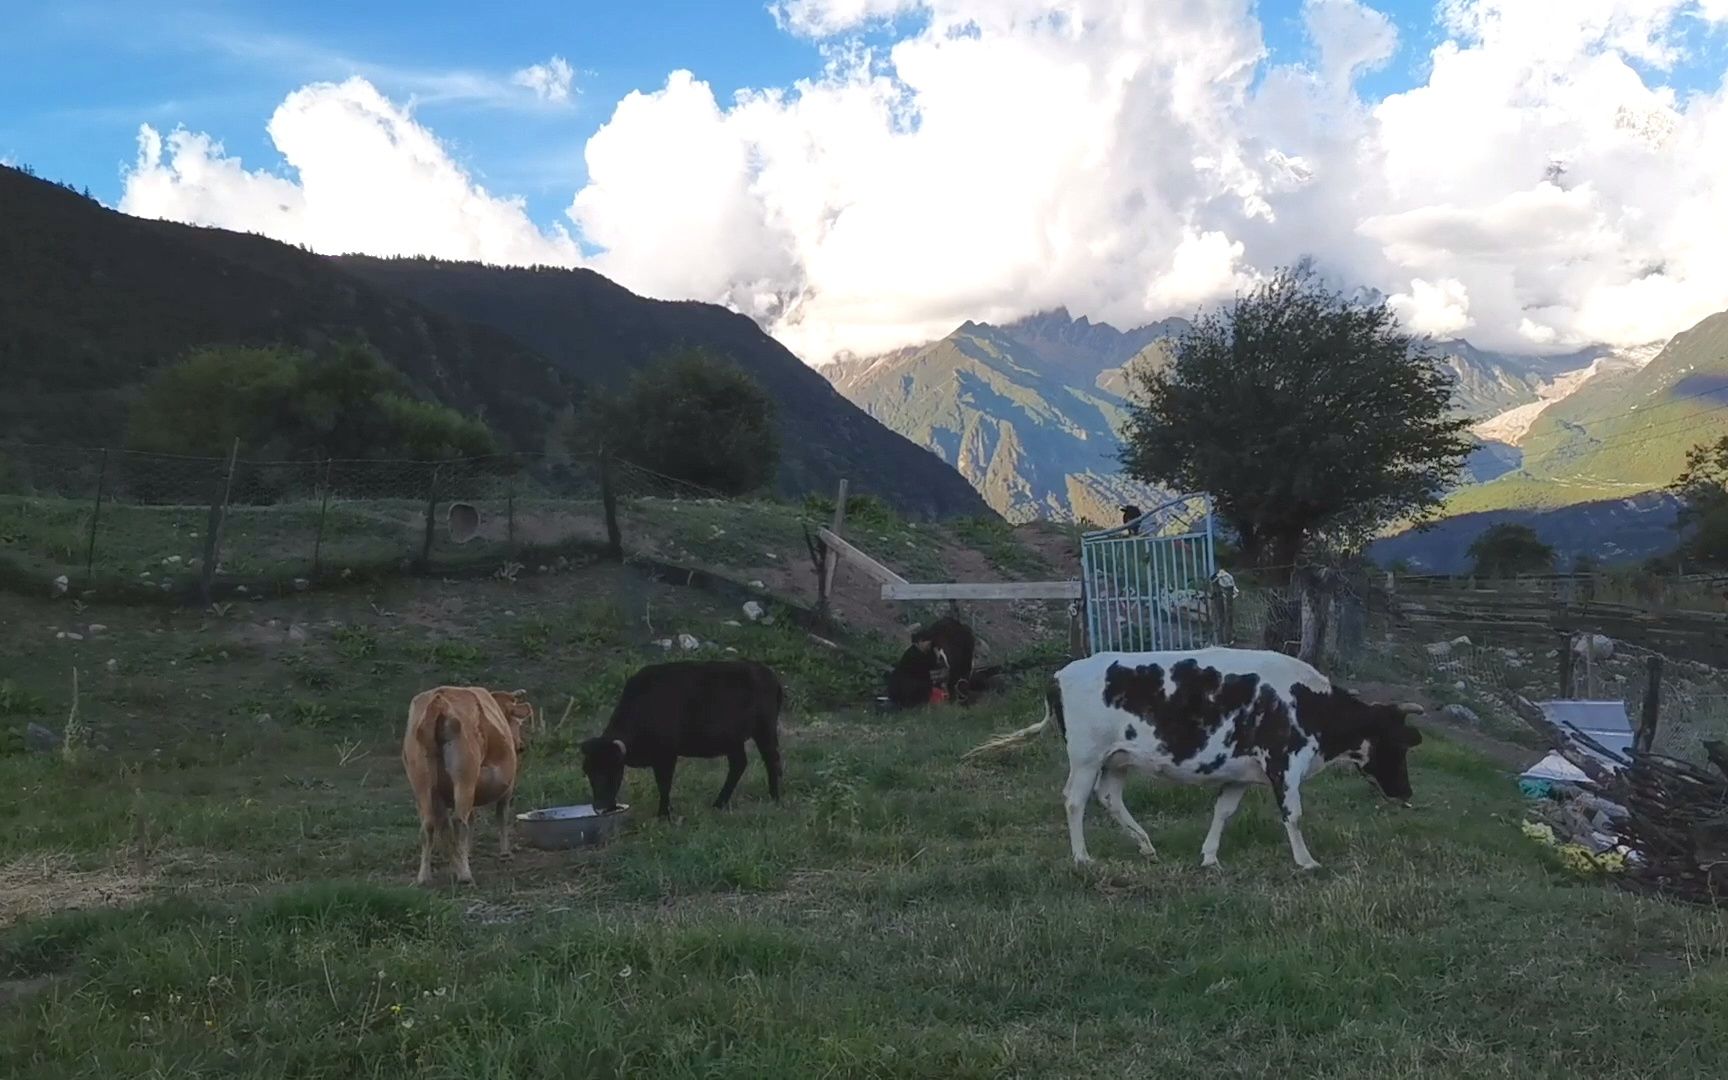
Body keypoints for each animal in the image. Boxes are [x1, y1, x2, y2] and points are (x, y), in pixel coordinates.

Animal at [402, 680, 532, 884]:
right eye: (516, 722)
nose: (520, 745)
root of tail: (438, 700)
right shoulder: (507, 787)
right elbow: (501, 815)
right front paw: (505, 853)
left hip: (421, 779)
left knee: (430, 824)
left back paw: (426, 876)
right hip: (465, 777)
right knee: (458, 821)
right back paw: (464, 875)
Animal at [580, 656, 784, 815]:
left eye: (610, 770)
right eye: (589, 772)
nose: (600, 807)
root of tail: (768, 674)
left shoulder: (666, 756)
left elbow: (664, 784)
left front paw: (663, 813)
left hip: (764, 730)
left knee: (771, 759)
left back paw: (774, 797)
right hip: (733, 741)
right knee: (739, 764)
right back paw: (719, 803)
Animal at [967, 649, 1423, 867]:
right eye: (1398, 744)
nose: (1406, 791)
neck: (1310, 703)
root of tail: (1061, 673)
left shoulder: (1241, 773)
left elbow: (1223, 812)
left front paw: (1209, 857)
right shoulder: (1285, 762)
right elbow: (1292, 815)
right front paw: (1307, 861)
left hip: (1117, 759)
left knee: (1110, 798)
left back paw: (1146, 846)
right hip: (1086, 756)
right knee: (1075, 800)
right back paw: (1082, 857)